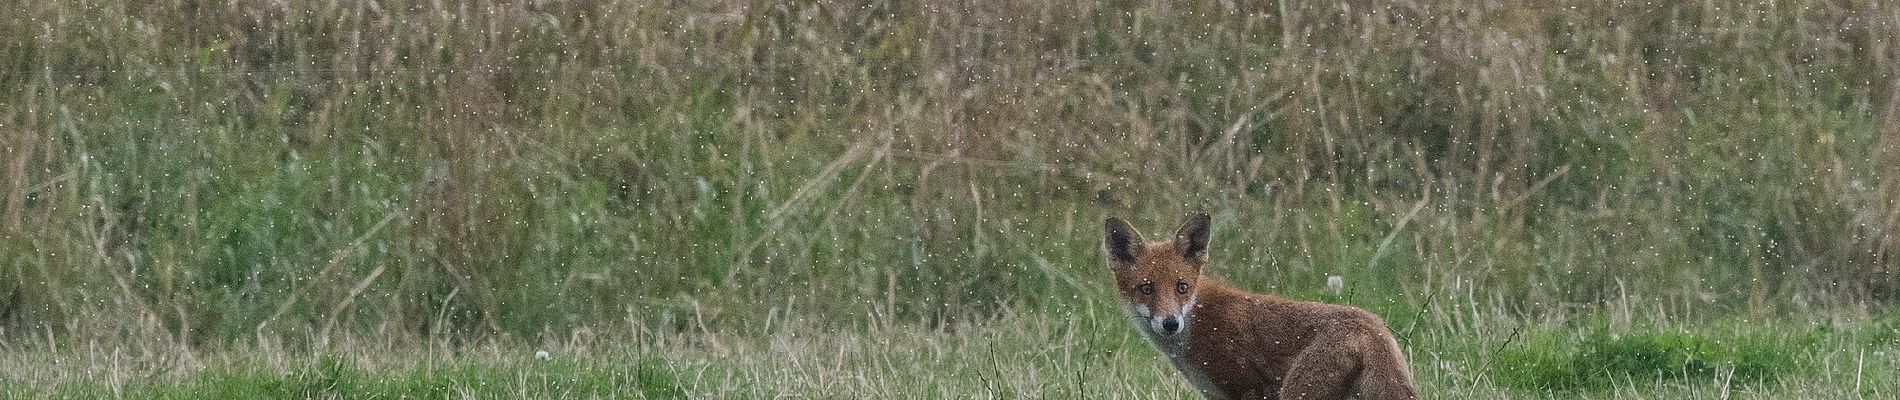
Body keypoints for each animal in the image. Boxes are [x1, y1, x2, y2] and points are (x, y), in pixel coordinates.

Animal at [1102, 215, 1413, 400]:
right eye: (1146, 288)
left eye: (1182, 287)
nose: (1170, 323)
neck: (1197, 322)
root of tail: (1371, 327)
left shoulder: (1249, 388)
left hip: (1296, 392)